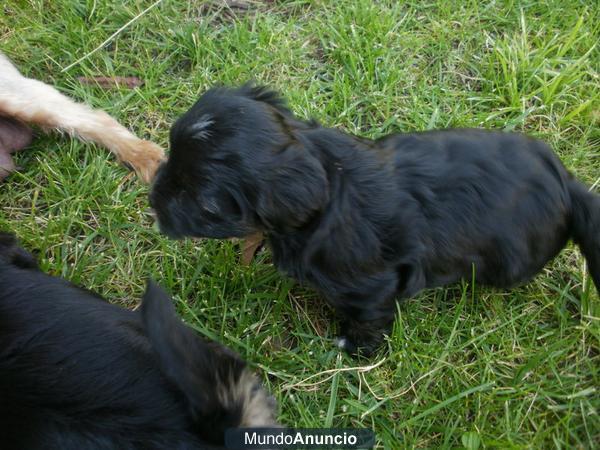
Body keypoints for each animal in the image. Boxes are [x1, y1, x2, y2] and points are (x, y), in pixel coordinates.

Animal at [149, 84, 600, 356]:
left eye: (201, 201)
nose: (153, 198)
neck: (326, 179)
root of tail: (567, 183)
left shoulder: (371, 286)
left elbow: (368, 320)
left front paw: (354, 349)